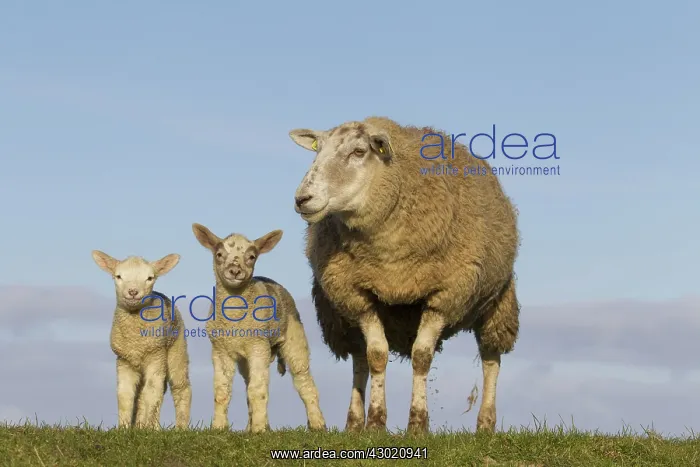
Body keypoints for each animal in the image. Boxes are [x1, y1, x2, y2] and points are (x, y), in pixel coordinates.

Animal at [91, 251, 192, 429]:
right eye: (118, 276)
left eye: (150, 278)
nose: (133, 292)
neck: (135, 341)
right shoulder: (123, 360)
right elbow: (125, 395)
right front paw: (124, 428)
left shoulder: (156, 355)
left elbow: (152, 392)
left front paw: (148, 429)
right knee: (144, 395)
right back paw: (143, 426)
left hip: (176, 349)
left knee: (180, 387)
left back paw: (179, 427)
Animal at [191, 223, 326, 433]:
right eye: (219, 254)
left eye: (252, 256)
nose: (235, 271)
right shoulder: (220, 349)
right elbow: (222, 391)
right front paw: (219, 427)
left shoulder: (258, 345)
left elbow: (258, 390)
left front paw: (260, 430)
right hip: (248, 358)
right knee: (250, 385)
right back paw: (251, 426)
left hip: (293, 338)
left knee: (303, 380)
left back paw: (318, 424)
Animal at [288, 116, 521, 434]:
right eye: (317, 150)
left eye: (359, 151)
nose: (302, 198)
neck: (391, 260)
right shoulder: (358, 295)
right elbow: (376, 356)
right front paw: (375, 422)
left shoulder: (444, 295)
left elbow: (422, 357)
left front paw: (418, 424)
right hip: (340, 312)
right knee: (359, 358)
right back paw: (354, 423)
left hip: (497, 302)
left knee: (491, 358)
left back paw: (485, 424)